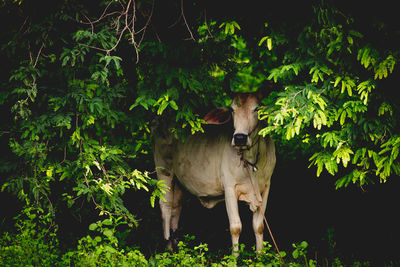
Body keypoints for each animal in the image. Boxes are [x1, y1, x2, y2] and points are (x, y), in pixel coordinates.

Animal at [152, 92, 276, 255]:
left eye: (256, 109)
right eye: (232, 110)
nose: (240, 138)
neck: (251, 160)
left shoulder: (266, 187)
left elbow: (259, 226)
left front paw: (260, 256)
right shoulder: (230, 188)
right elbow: (236, 227)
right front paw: (234, 258)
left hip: (179, 181)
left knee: (176, 207)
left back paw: (175, 245)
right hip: (164, 170)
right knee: (165, 206)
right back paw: (168, 248)